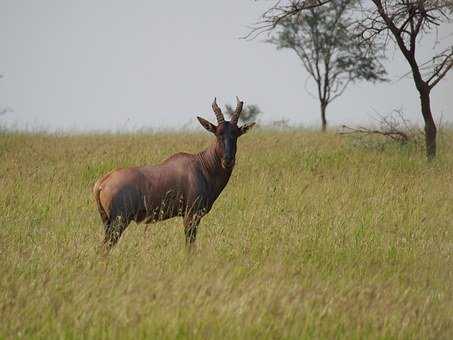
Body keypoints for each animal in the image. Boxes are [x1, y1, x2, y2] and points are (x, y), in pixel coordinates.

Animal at [93, 97, 254, 251]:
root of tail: (102, 183)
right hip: (118, 222)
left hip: (108, 222)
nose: (228, 160)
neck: (203, 165)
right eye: (218, 134)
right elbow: (190, 245)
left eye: (236, 134)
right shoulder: (191, 215)